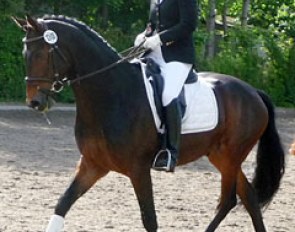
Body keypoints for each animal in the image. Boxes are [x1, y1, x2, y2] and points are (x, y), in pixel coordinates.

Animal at [13, 15, 286, 231]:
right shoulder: (92, 165)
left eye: (43, 54)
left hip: (231, 155)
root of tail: (254, 92)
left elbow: (150, 220)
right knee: (248, 197)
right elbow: (62, 203)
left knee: (228, 200)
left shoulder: (139, 169)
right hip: (221, 156)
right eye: (25, 54)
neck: (111, 94)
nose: (35, 102)